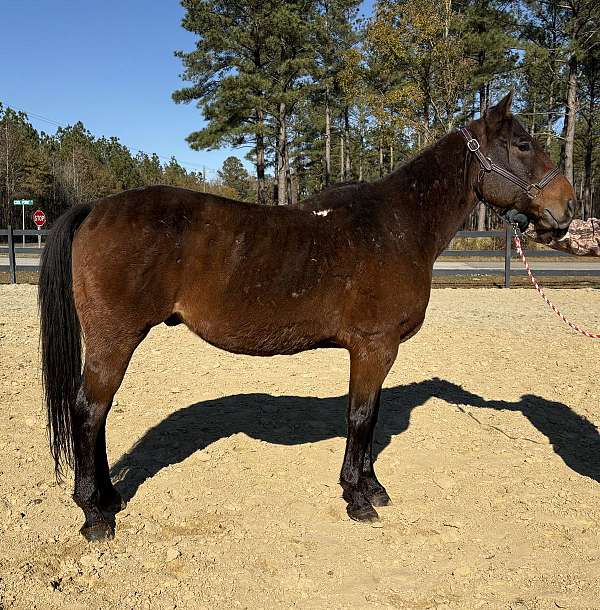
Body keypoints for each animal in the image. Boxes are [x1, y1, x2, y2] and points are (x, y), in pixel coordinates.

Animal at [38, 92, 576, 540]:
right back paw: (95, 513)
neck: (396, 227)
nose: (567, 208)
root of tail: (94, 209)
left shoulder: (376, 352)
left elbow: (371, 418)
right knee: (89, 411)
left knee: (97, 413)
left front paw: (372, 488)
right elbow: (360, 417)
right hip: (114, 339)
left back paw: (110, 497)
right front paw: (358, 499)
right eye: (523, 144)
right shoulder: (373, 347)